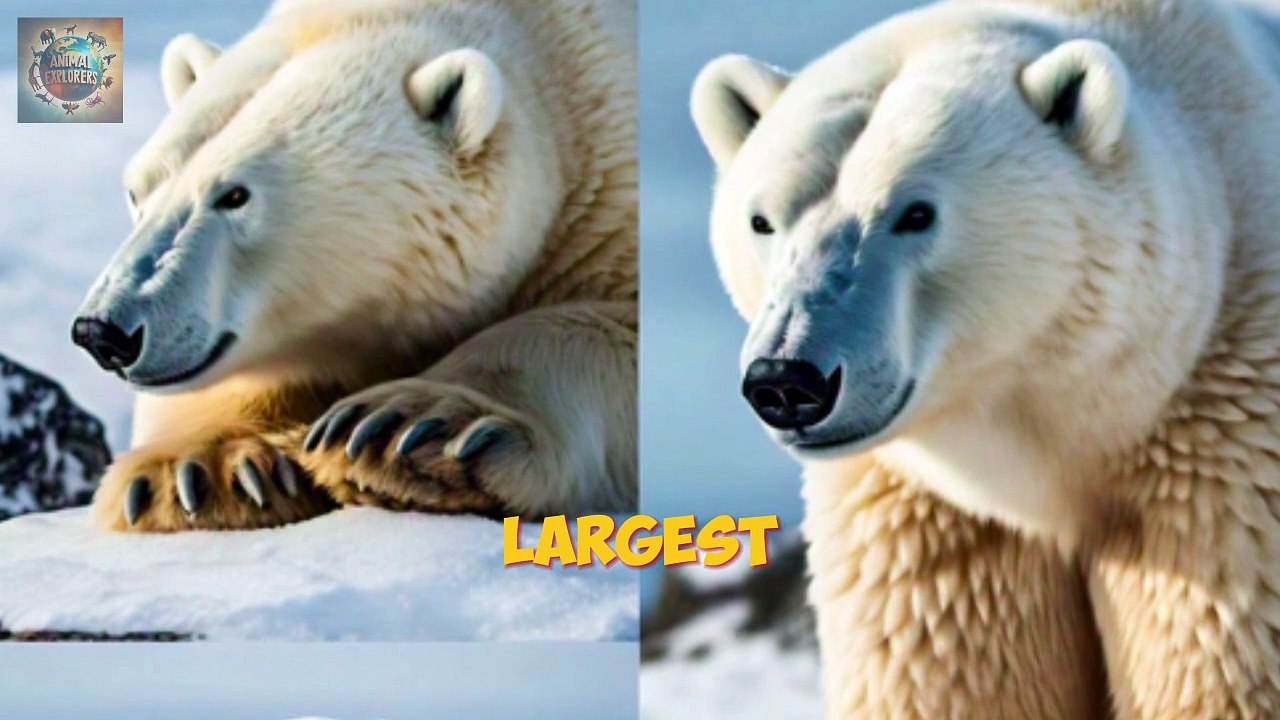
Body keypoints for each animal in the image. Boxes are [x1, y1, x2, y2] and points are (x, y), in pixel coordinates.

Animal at [692, 0, 1280, 717]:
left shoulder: (1220, 466)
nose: (786, 380)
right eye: (762, 221)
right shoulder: (929, 523)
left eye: (917, 213)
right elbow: (949, 669)